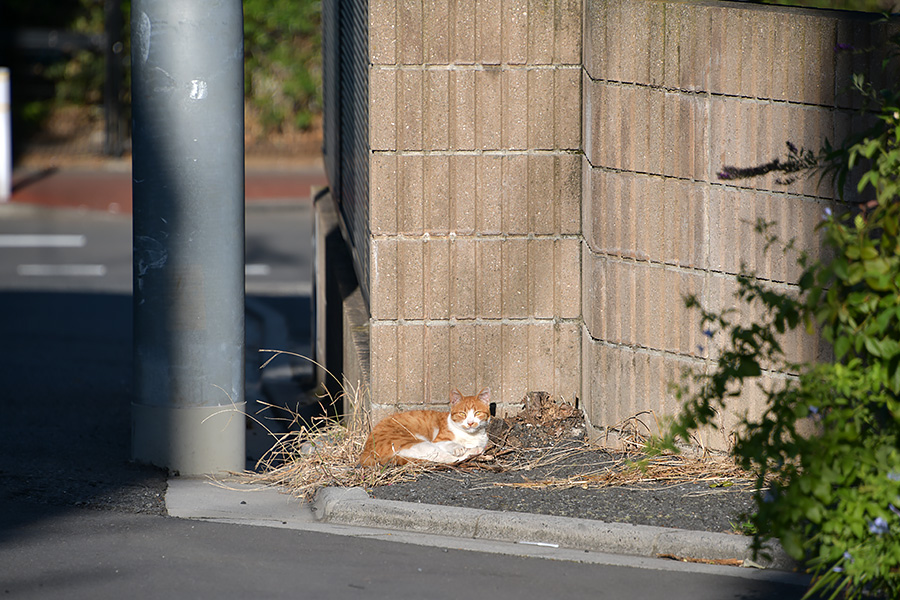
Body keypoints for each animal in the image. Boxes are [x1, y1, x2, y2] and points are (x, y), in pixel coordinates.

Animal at [358, 386, 492, 466]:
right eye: (462, 414)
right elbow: (451, 444)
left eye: (477, 413)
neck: (471, 436)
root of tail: (365, 451)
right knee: (448, 459)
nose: (470, 423)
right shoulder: (438, 441)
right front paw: (458, 447)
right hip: (418, 443)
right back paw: (474, 451)